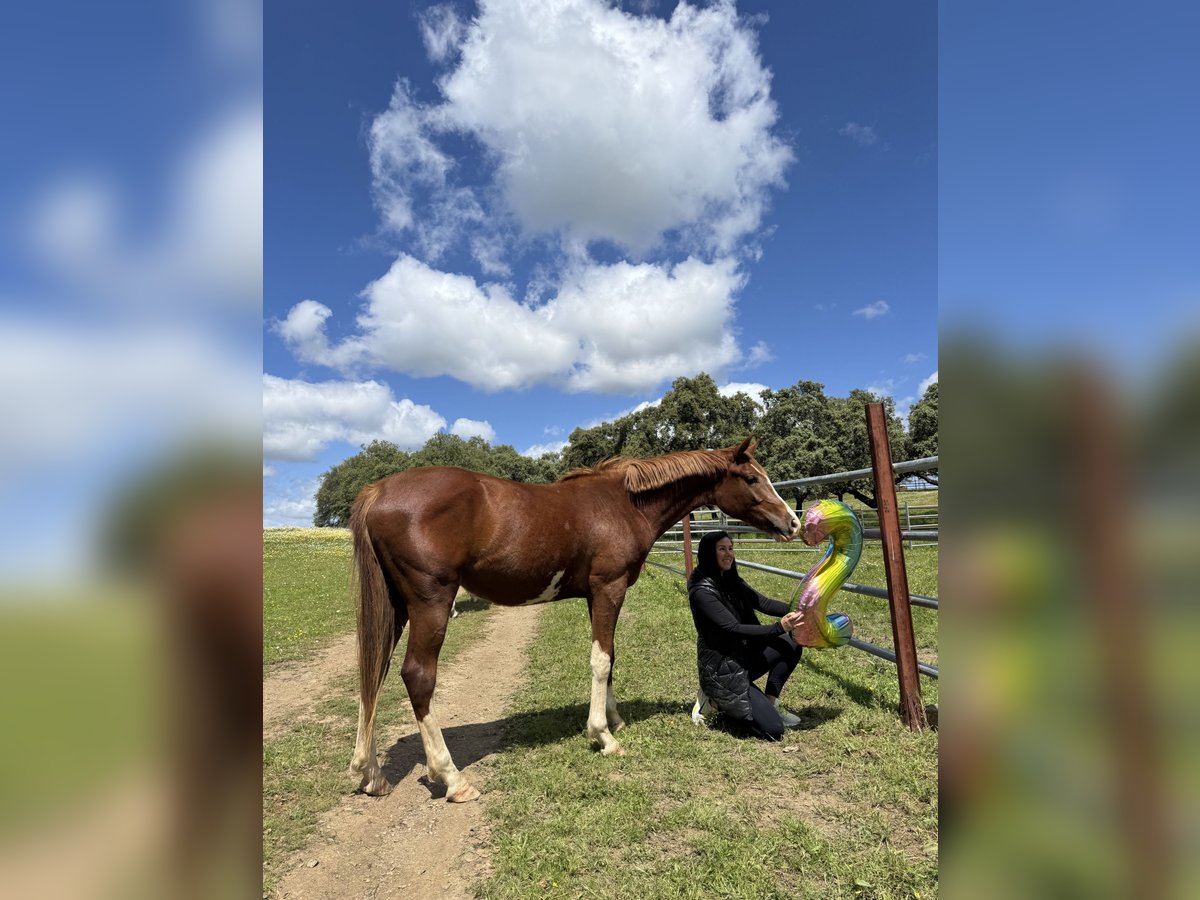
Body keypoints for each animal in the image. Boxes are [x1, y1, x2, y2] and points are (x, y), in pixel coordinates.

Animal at [348, 436, 799, 802]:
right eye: (752, 478)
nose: (792, 522)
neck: (622, 503)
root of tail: (378, 490)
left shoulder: (595, 596)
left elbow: (611, 657)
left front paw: (615, 720)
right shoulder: (609, 589)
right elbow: (601, 660)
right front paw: (603, 736)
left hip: (396, 608)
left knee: (374, 672)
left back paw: (369, 773)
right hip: (431, 604)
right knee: (417, 677)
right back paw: (452, 778)